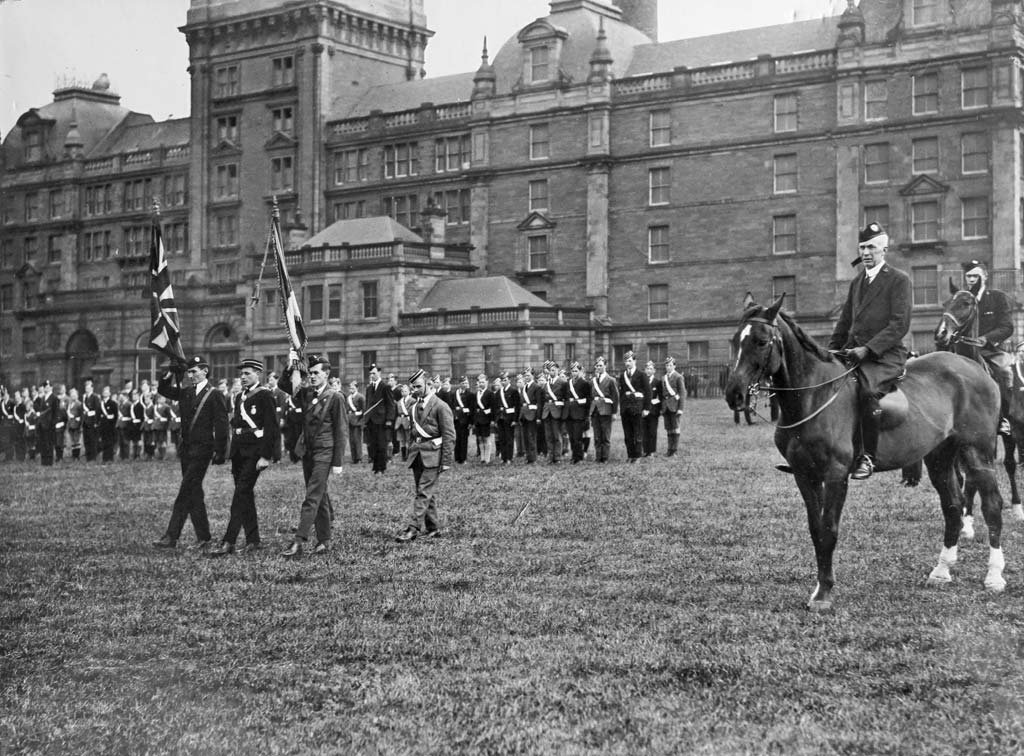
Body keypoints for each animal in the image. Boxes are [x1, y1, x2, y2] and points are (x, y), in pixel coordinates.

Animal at [729, 290, 1007, 610]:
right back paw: (941, 571)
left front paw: (824, 593)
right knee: (952, 506)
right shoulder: (804, 474)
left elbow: (829, 529)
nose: (734, 394)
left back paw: (994, 577)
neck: (814, 394)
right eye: (734, 340)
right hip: (939, 456)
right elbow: (815, 529)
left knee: (992, 506)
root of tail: (973, 367)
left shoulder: (836, 474)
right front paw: (819, 587)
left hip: (978, 451)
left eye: (761, 341)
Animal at [933, 280, 1024, 528]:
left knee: (1010, 464)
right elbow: (963, 475)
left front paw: (968, 516)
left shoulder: (984, 440)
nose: (941, 334)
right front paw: (966, 516)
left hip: (1009, 433)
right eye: (945, 303)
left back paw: (1017, 506)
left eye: (966, 303)